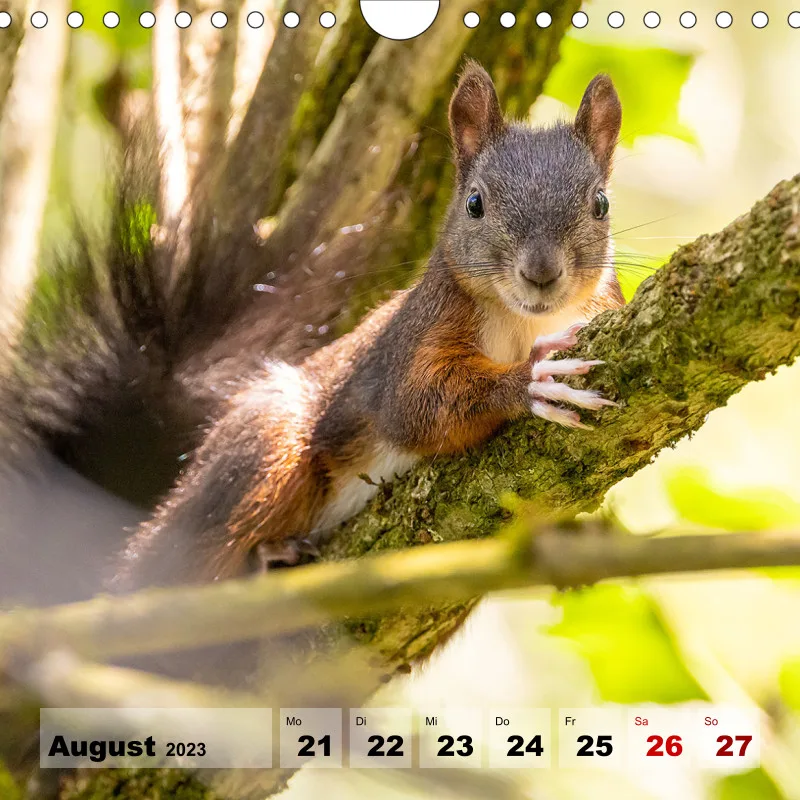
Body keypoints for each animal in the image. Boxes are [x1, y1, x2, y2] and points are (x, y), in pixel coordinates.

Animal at [107, 63, 625, 591]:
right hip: (265, 441)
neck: (524, 321)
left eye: (601, 204)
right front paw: (532, 379)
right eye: (475, 203)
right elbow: (413, 406)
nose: (541, 273)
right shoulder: (415, 334)